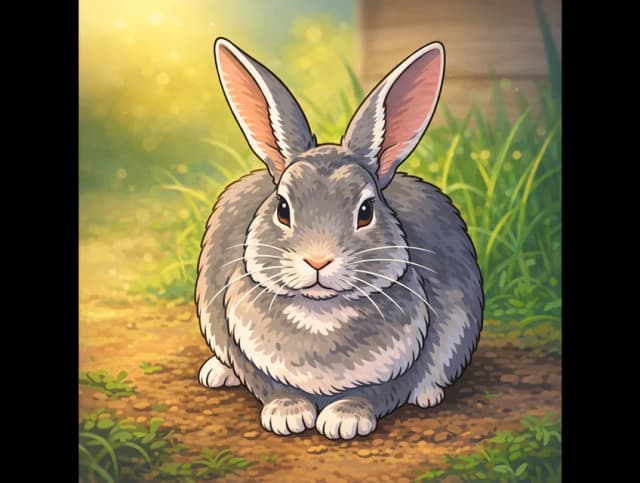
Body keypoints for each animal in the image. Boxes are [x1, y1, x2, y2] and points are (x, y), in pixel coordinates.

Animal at [195, 37, 483, 440]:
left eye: (366, 211)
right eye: (283, 208)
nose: (318, 261)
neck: (320, 310)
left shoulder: (404, 362)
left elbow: (377, 393)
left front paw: (344, 419)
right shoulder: (244, 348)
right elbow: (269, 385)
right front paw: (287, 414)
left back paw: (428, 394)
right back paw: (216, 372)